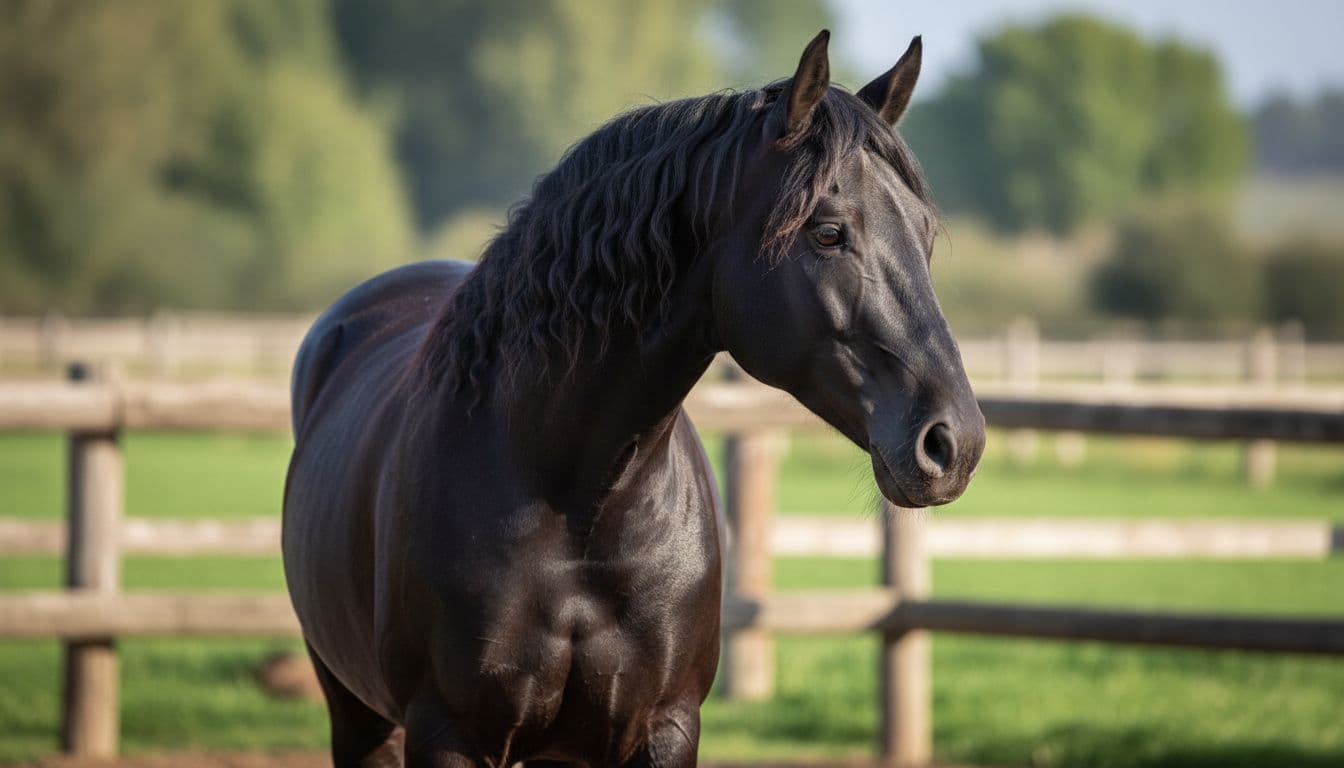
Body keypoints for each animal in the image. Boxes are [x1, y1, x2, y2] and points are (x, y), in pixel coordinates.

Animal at [283, 30, 984, 768]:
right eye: (827, 232)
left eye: (925, 236)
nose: (954, 443)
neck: (575, 505)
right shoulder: (446, 734)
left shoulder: (664, 728)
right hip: (359, 714)